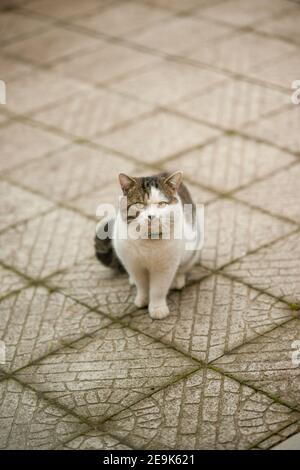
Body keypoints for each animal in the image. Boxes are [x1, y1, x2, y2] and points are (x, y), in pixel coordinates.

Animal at [95, 171, 203, 322]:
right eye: (140, 204)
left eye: (162, 204)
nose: (151, 216)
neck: (149, 242)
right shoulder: (133, 264)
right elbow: (142, 285)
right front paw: (143, 299)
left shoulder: (165, 267)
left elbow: (158, 289)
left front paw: (157, 308)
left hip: (192, 250)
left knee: (183, 267)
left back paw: (177, 279)